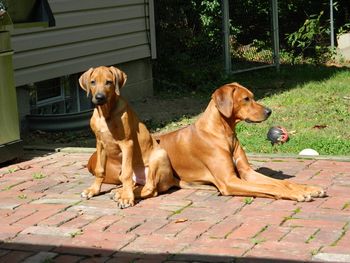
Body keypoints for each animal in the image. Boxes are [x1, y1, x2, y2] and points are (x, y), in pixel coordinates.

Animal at [79, 67, 178, 209]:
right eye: (93, 82)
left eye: (109, 82)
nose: (99, 97)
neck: (105, 113)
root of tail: (172, 179)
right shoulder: (100, 144)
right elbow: (100, 170)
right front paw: (94, 190)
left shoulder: (127, 144)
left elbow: (127, 173)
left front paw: (126, 199)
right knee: (134, 183)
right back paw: (119, 192)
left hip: (158, 157)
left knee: (150, 188)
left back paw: (125, 195)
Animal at [156, 82, 326, 202]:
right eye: (246, 99)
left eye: (253, 96)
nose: (269, 111)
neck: (225, 134)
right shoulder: (229, 180)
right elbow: (271, 186)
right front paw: (296, 193)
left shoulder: (247, 172)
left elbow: (279, 182)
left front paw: (307, 188)